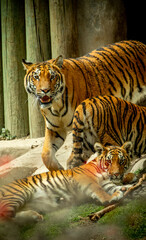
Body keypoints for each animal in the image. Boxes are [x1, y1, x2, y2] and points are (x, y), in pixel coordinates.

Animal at [0, 142, 135, 222]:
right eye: (109, 161)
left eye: (121, 161)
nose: (116, 174)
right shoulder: (85, 179)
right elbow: (99, 190)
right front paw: (112, 197)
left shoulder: (106, 183)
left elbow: (115, 187)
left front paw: (127, 188)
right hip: (16, 195)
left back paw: (35, 216)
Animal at [22, 39, 145, 171]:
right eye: (36, 77)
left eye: (52, 76)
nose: (45, 90)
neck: (56, 105)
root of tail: (140, 43)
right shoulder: (55, 128)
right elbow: (45, 154)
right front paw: (59, 170)